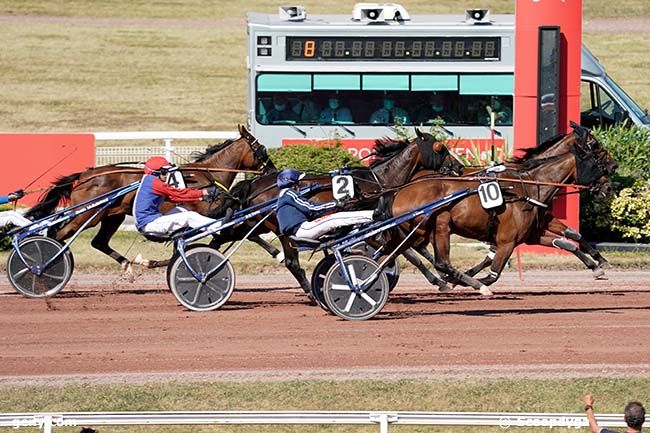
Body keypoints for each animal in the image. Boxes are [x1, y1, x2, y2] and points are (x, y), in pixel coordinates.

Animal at [26, 125, 276, 272]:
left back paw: (128, 264)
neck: (207, 175)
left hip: (112, 216)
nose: (272, 169)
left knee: (98, 242)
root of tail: (85, 175)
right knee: (58, 234)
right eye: (262, 149)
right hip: (87, 214)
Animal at [210, 128, 464, 296]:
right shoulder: (373, 228)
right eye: (440, 147)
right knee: (291, 262)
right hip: (280, 230)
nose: (459, 167)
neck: (378, 181)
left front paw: (445, 278)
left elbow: (413, 249)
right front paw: (443, 279)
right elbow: (408, 252)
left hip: (254, 223)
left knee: (221, 238)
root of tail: (255, 183)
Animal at [382, 125, 616, 294]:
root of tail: (402, 189)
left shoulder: (534, 230)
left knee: (404, 250)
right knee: (421, 254)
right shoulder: (508, 238)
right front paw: (466, 280)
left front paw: (598, 264)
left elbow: (569, 238)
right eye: (595, 148)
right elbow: (492, 270)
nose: (609, 184)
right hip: (437, 226)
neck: (530, 183)